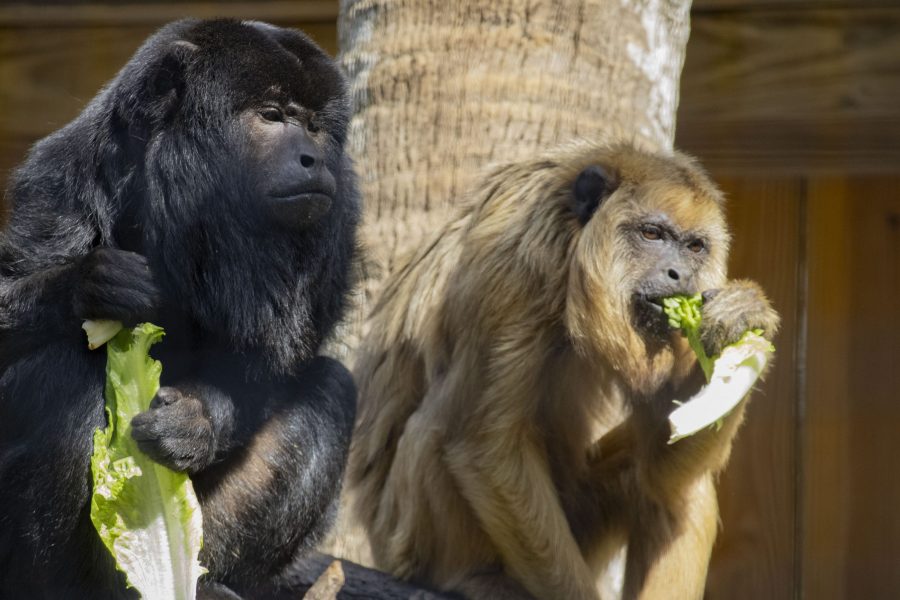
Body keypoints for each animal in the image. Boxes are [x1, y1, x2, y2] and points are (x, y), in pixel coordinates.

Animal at [348, 142, 776, 600]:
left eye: (695, 247)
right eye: (652, 234)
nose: (679, 274)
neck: (571, 252)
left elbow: (660, 456)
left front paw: (742, 320)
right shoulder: (510, 266)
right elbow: (484, 446)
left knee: (674, 487)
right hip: (407, 544)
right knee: (433, 429)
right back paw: (472, 578)